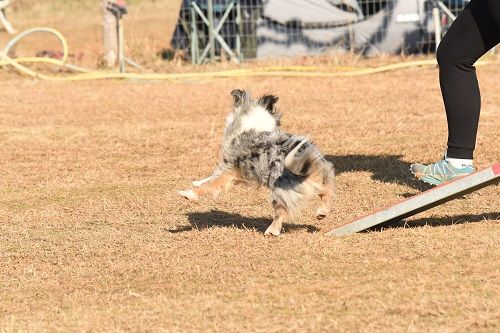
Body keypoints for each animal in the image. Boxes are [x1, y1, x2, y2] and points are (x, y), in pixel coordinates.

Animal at [177, 89, 336, 233]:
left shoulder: (229, 170)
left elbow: (211, 183)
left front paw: (189, 194)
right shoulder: (237, 173)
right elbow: (209, 178)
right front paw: (196, 182)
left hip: (280, 189)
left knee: (282, 211)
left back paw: (272, 230)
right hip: (312, 178)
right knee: (324, 190)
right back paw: (322, 212)